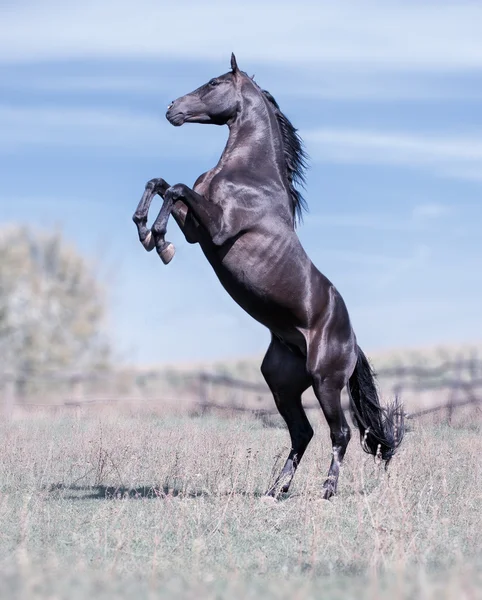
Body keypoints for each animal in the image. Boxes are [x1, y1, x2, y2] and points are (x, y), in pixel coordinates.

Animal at [133, 54, 402, 500]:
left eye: (214, 83)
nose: (172, 109)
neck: (250, 175)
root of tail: (352, 340)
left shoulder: (217, 228)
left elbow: (176, 188)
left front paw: (156, 239)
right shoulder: (197, 231)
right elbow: (159, 183)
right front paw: (147, 232)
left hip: (325, 382)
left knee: (340, 433)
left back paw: (326, 491)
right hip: (282, 384)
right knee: (302, 433)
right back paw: (275, 490)